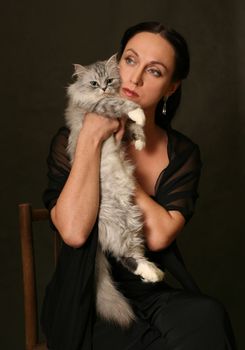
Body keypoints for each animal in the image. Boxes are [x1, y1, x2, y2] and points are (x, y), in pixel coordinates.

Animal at [65, 54, 165, 328]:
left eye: (109, 80)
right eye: (94, 83)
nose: (103, 88)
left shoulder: (118, 119)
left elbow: (132, 128)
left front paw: (140, 142)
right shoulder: (100, 108)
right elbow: (124, 105)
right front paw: (139, 115)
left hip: (132, 221)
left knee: (131, 255)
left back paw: (153, 273)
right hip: (119, 223)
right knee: (122, 256)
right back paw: (152, 273)